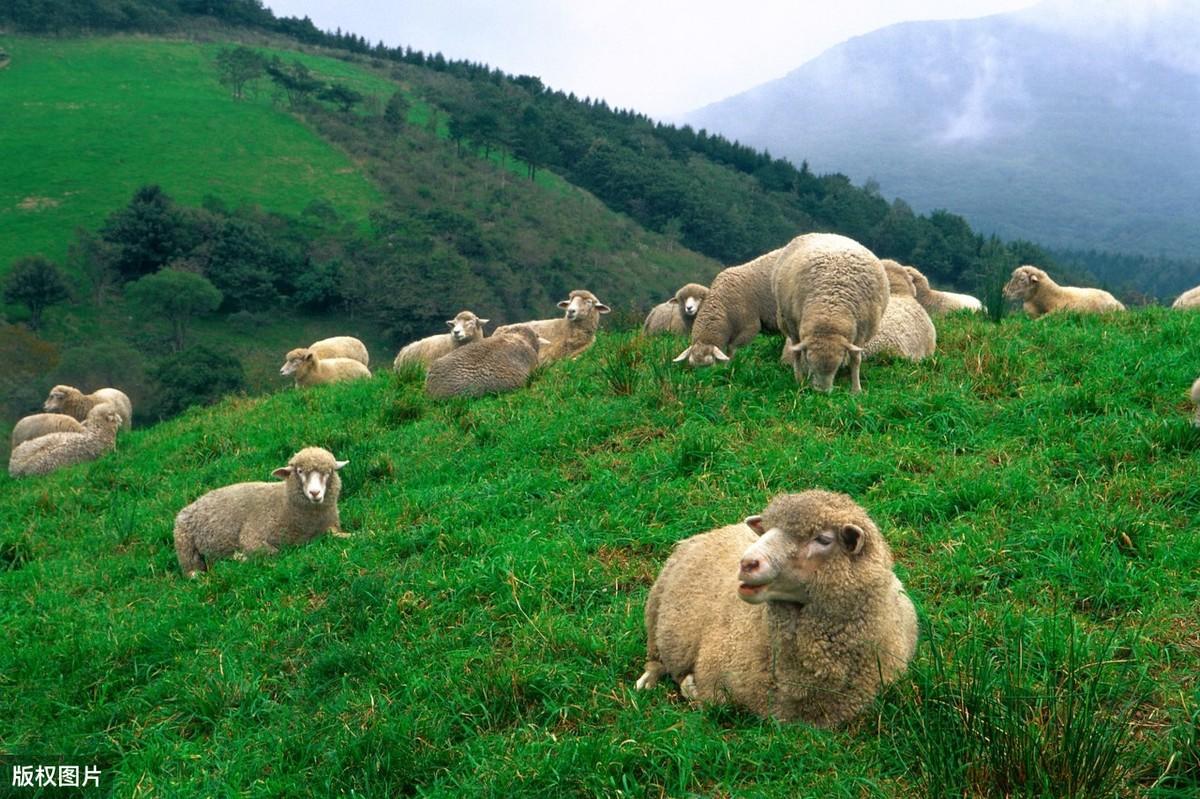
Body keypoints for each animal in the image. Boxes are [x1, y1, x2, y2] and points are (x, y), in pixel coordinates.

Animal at [171, 443, 348, 575]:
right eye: (299, 471)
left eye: (329, 472)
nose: (315, 493)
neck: (284, 503)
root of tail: (191, 504)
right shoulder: (252, 537)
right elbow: (273, 552)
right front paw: (240, 557)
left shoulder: (329, 526)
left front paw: (351, 536)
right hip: (185, 547)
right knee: (192, 571)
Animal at [638, 489, 916, 724]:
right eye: (767, 531)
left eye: (823, 539)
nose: (747, 563)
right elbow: (714, 701)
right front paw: (689, 686)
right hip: (655, 615)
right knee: (655, 660)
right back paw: (647, 682)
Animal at [768, 230, 892, 391]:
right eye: (810, 360)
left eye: (837, 364)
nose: (821, 392)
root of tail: (826, 233)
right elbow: (800, 353)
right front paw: (803, 380)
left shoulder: (861, 330)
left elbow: (855, 359)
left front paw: (856, 389)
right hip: (787, 321)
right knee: (796, 351)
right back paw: (800, 377)